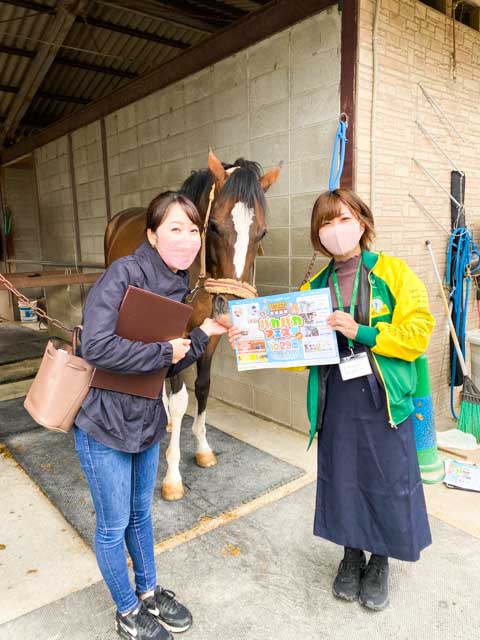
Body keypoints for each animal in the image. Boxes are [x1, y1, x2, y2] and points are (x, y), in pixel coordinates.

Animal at [103, 151, 280, 500]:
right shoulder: (177, 335)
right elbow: (180, 399)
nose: (229, 306)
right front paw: (172, 476)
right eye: (213, 227)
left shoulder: (208, 337)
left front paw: (202, 447)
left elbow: (203, 387)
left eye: (263, 233)